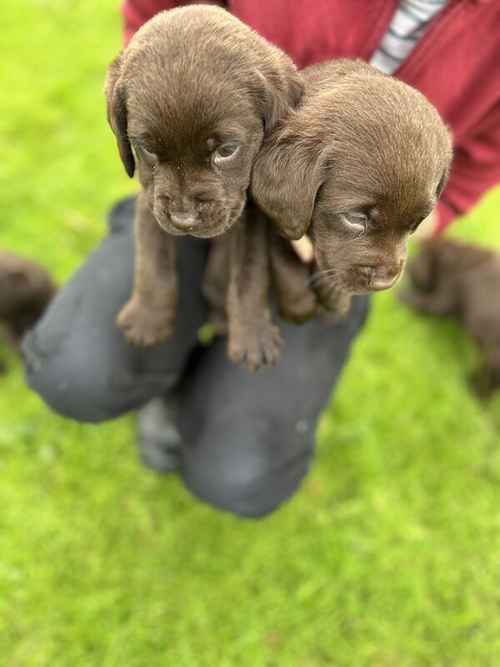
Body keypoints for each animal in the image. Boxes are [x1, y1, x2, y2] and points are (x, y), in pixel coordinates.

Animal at [105, 5, 300, 350]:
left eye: (226, 150)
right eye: (147, 149)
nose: (184, 219)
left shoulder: (250, 213)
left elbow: (249, 271)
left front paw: (252, 335)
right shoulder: (150, 198)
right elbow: (151, 256)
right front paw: (147, 316)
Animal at [252, 58, 452, 314]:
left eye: (417, 223)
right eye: (355, 218)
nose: (385, 281)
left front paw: (334, 294)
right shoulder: (278, 216)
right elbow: (283, 254)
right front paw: (299, 303)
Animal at [400, 239, 500, 400]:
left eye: (419, 256)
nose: (408, 267)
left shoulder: (446, 295)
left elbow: (426, 303)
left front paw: (401, 295)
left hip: (493, 360)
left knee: (488, 383)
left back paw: (474, 393)